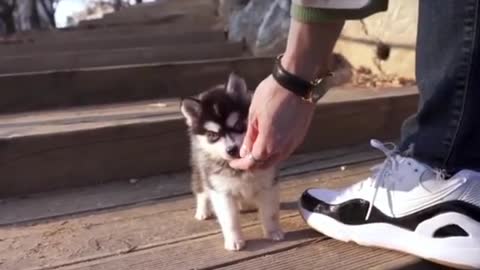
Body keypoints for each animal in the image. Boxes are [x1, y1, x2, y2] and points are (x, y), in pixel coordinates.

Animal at [180, 73, 284, 251]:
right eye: (212, 135)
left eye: (238, 125)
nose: (232, 150)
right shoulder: (221, 191)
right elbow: (229, 219)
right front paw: (234, 239)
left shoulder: (268, 184)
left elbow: (269, 212)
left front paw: (273, 230)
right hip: (199, 170)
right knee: (201, 190)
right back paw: (202, 210)